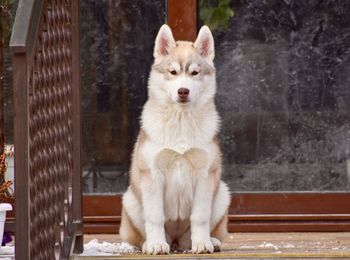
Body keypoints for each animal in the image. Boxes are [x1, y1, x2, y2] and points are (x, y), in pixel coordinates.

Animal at [119, 23, 231, 254]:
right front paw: (155, 244)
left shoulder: (206, 174)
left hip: (222, 194)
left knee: (194, 234)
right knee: (142, 234)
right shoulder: (152, 174)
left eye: (195, 72)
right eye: (173, 72)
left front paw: (202, 243)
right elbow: (155, 217)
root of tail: (177, 241)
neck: (181, 121)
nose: (183, 91)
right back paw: (150, 243)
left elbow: (200, 216)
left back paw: (210, 241)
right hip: (130, 200)